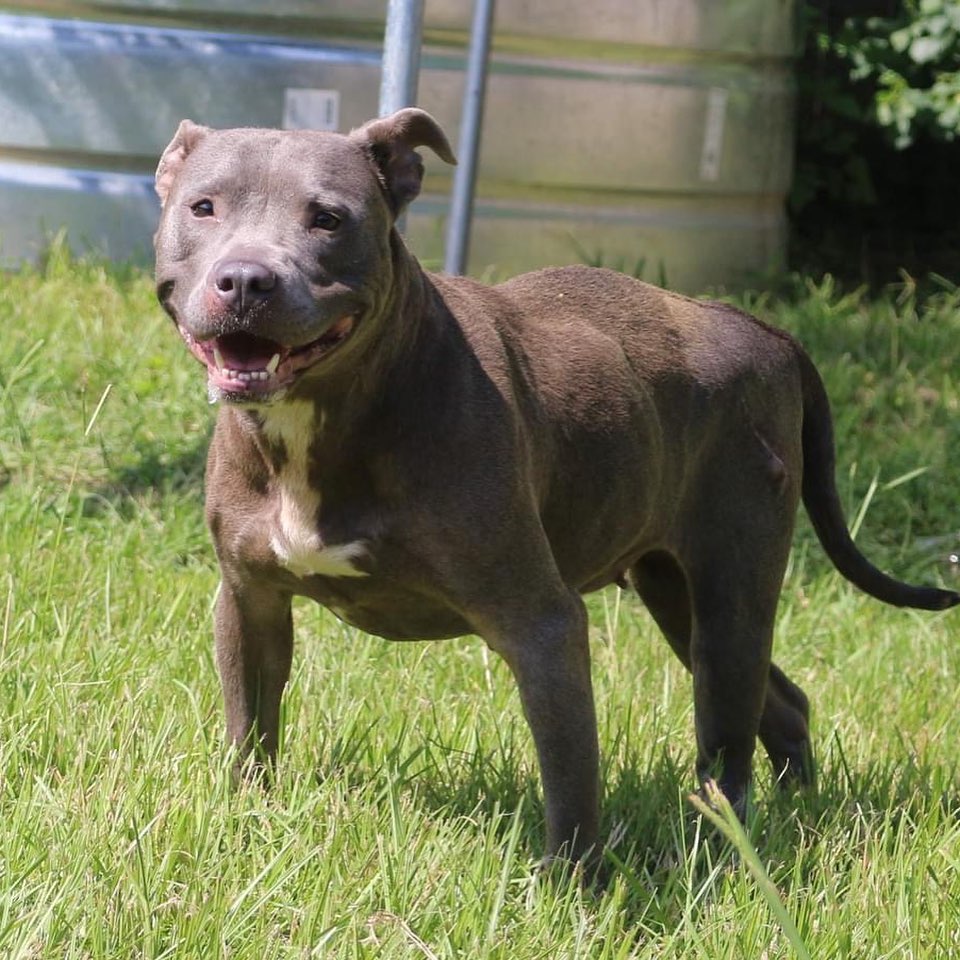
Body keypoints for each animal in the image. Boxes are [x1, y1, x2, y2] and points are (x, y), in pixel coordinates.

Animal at [154, 109, 956, 868]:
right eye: (203, 207)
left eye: (328, 218)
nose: (247, 280)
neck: (326, 414)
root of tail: (762, 329)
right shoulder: (249, 601)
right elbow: (251, 730)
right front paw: (247, 818)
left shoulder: (541, 624)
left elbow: (570, 778)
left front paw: (576, 889)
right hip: (677, 594)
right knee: (781, 705)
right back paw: (796, 813)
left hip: (732, 592)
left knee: (727, 748)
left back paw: (724, 848)